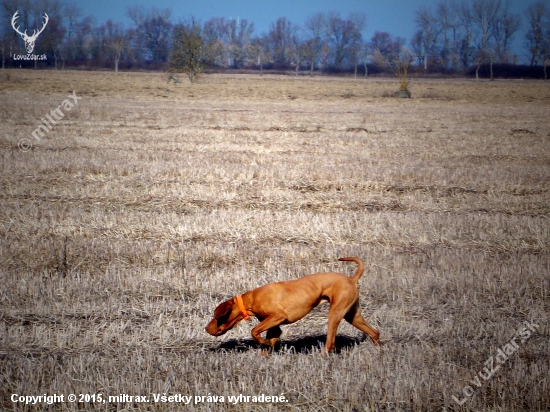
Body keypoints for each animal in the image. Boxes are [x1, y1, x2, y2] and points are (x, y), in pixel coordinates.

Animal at [205, 256, 382, 352]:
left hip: (335, 314)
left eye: (216, 317)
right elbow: (265, 344)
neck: (251, 299)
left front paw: (264, 342)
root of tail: (351, 279)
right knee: (375, 333)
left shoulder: (278, 316)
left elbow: (254, 331)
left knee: (330, 343)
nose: (206, 328)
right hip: (352, 316)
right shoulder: (274, 327)